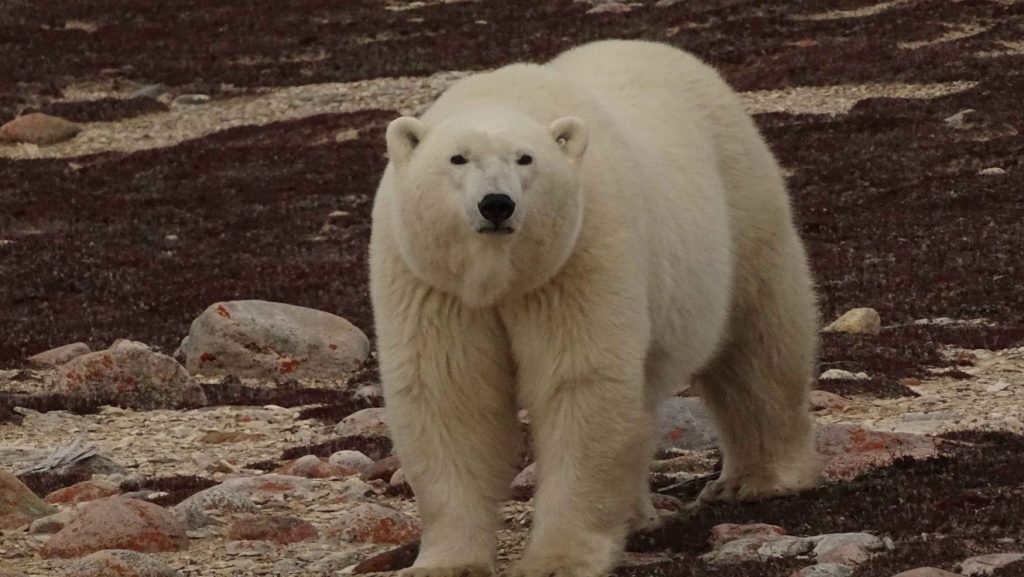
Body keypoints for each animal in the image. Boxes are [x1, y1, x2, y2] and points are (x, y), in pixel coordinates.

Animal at [369, 39, 821, 577]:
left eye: (526, 159)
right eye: (457, 158)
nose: (496, 204)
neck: (501, 277)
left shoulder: (580, 256)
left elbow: (580, 383)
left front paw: (558, 559)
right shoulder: (432, 282)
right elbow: (451, 394)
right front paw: (445, 563)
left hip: (740, 205)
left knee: (759, 342)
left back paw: (756, 478)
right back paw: (640, 512)